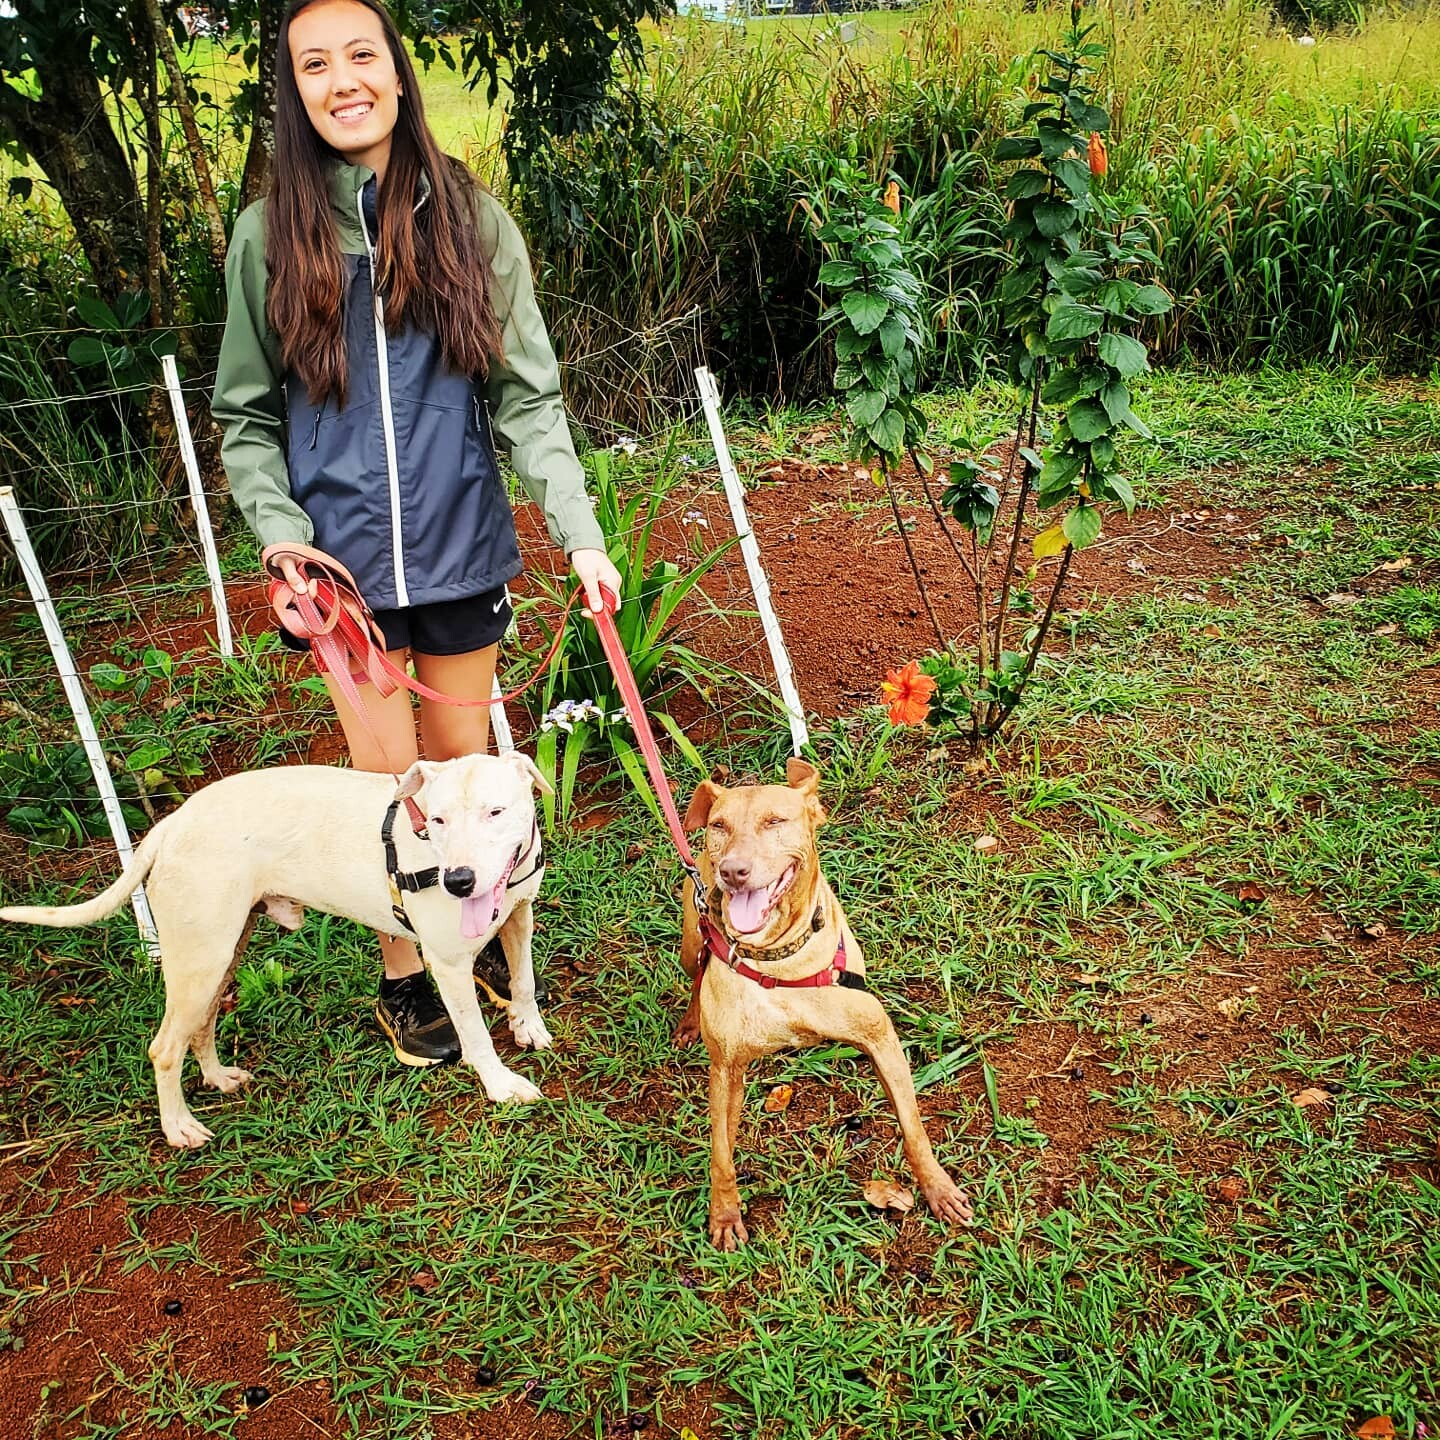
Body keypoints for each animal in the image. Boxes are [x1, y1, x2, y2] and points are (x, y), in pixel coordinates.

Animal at [0, 754, 552, 1146]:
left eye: (495, 812)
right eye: (436, 821)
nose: (458, 881)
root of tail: (170, 825)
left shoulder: (519, 914)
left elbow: (522, 981)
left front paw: (528, 1026)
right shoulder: (449, 963)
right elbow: (476, 1036)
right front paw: (501, 1086)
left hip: (222, 952)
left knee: (200, 1025)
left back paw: (218, 1078)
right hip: (198, 960)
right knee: (163, 1048)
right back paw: (178, 1127)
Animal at [676, 760, 973, 1244]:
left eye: (775, 821)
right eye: (719, 826)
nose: (733, 872)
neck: (777, 961)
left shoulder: (881, 1040)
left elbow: (913, 1128)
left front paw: (937, 1188)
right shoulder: (725, 1071)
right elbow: (721, 1153)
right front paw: (724, 1214)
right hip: (690, 937)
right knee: (696, 968)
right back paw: (689, 1022)